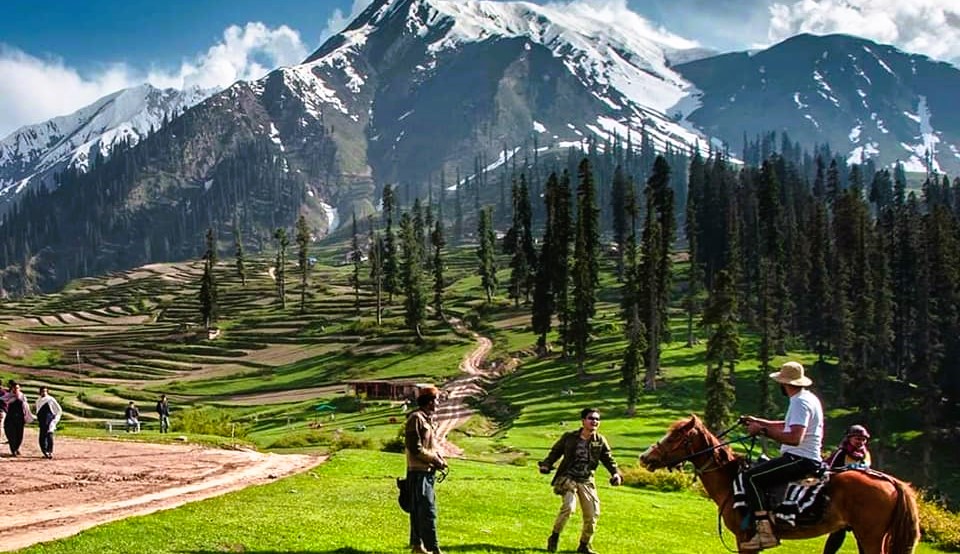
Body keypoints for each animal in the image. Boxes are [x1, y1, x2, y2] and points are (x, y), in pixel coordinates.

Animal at [640, 414, 920, 552]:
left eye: (674, 437)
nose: (645, 457)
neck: (730, 482)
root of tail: (893, 483)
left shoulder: (745, 540)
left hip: (870, 536)